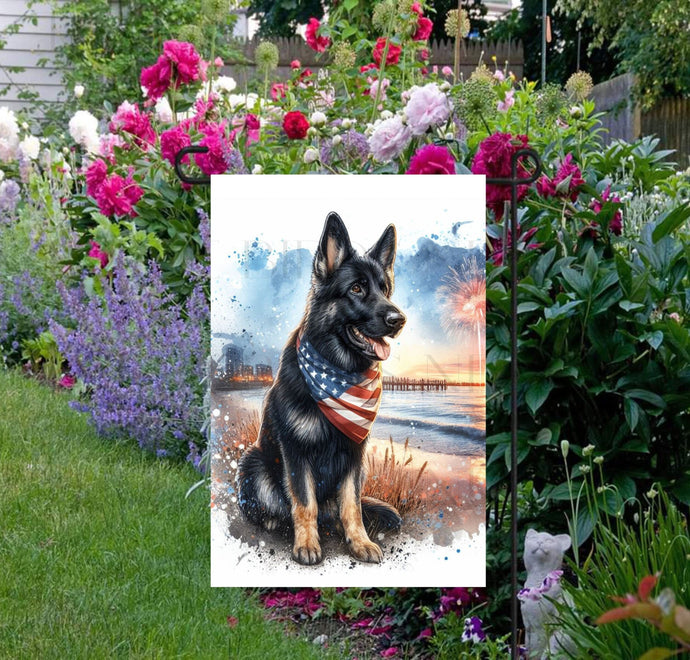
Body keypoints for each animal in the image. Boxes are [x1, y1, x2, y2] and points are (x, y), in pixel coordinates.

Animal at [239, 214, 406, 564]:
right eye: (356, 288)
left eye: (384, 289)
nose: (399, 319)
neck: (337, 372)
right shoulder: (295, 452)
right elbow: (304, 502)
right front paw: (306, 544)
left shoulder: (354, 456)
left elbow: (351, 504)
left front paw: (359, 542)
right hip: (254, 461)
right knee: (274, 504)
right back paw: (273, 520)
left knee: (337, 509)